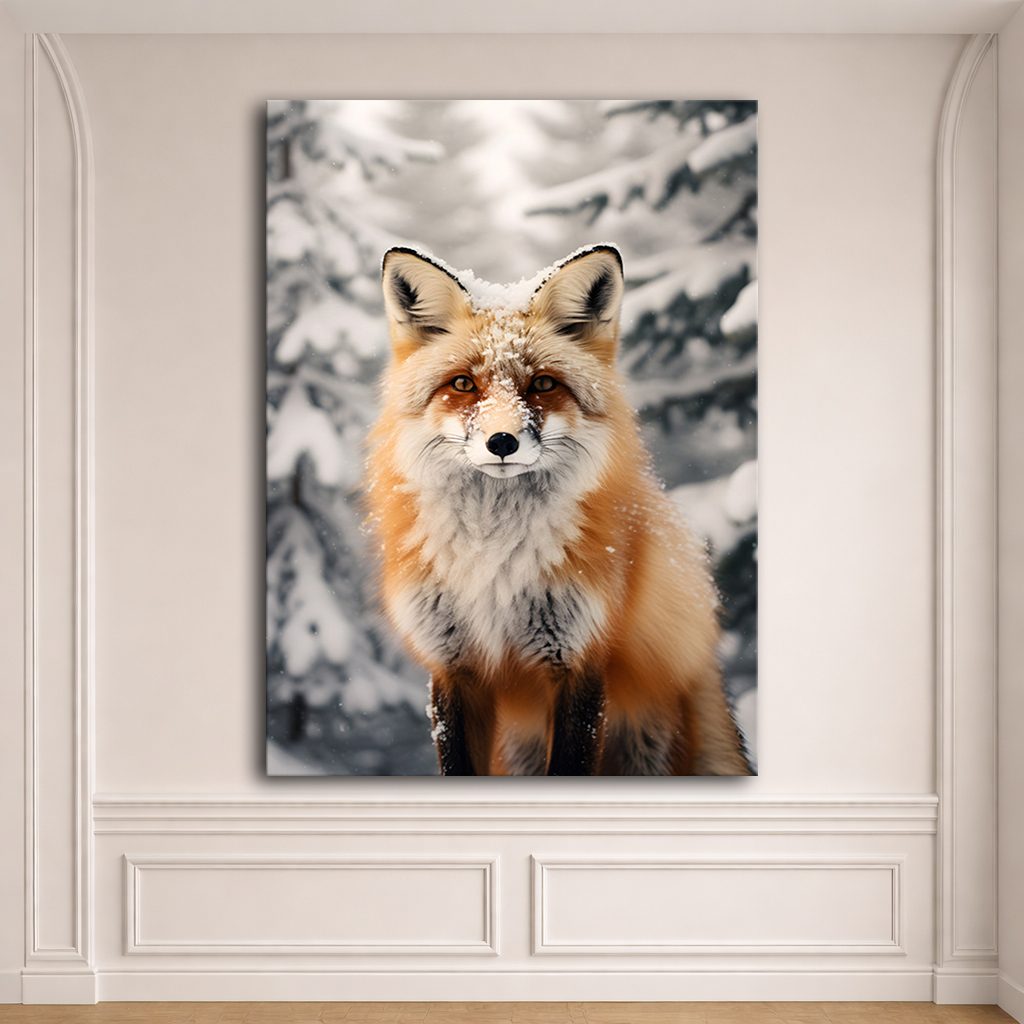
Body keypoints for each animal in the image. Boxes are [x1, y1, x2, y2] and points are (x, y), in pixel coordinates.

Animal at [365, 243, 752, 776]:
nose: (501, 441)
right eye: (463, 384)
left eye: (543, 384)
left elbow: (571, 760)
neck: (494, 557)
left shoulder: (580, 659)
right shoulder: (452, 665)